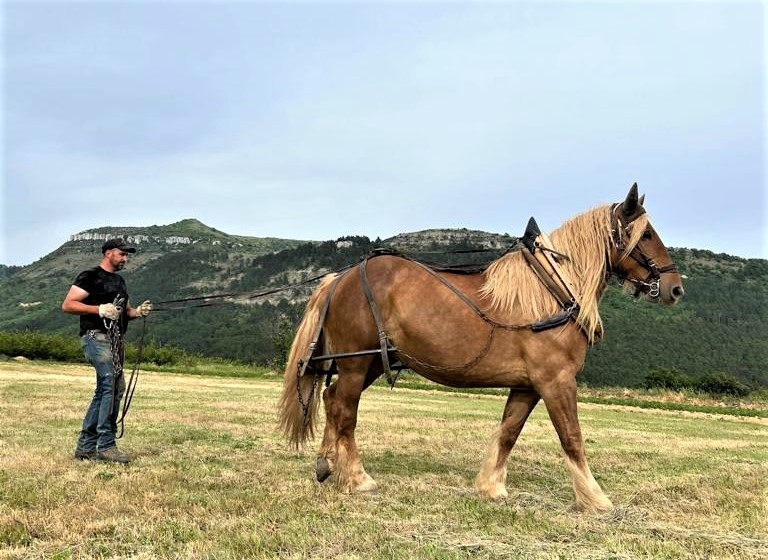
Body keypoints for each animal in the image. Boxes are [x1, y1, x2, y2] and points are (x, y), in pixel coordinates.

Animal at [278, 184, 684, 512]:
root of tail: (339, 278)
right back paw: (357, 478)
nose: (676, 288)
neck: (553, 292)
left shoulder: (527, 385)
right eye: (646, 234)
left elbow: (508, 432)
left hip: (372, 363)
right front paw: (595, 499)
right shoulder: (556, 381)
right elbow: (571, 438)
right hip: (358, 363)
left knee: (331, 399)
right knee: (344, 410)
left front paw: (491, 486)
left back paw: (326, 464)